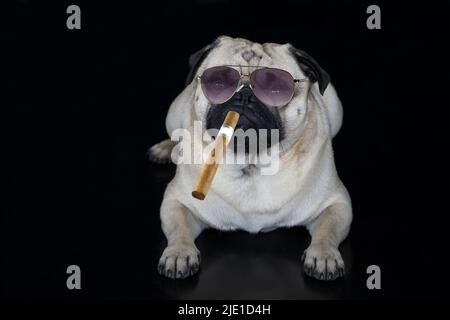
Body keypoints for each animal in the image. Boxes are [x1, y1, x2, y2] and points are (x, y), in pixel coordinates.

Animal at [149, 35, 354, 280]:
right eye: (218, 84)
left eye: (276, 89)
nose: (244, 94)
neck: (251, 164)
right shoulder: (176, 200)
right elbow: (179, 228)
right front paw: (179, 252)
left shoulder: (336, 202)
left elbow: (327, 228)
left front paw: (324, 255)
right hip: (173, 114)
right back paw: (166, 148)